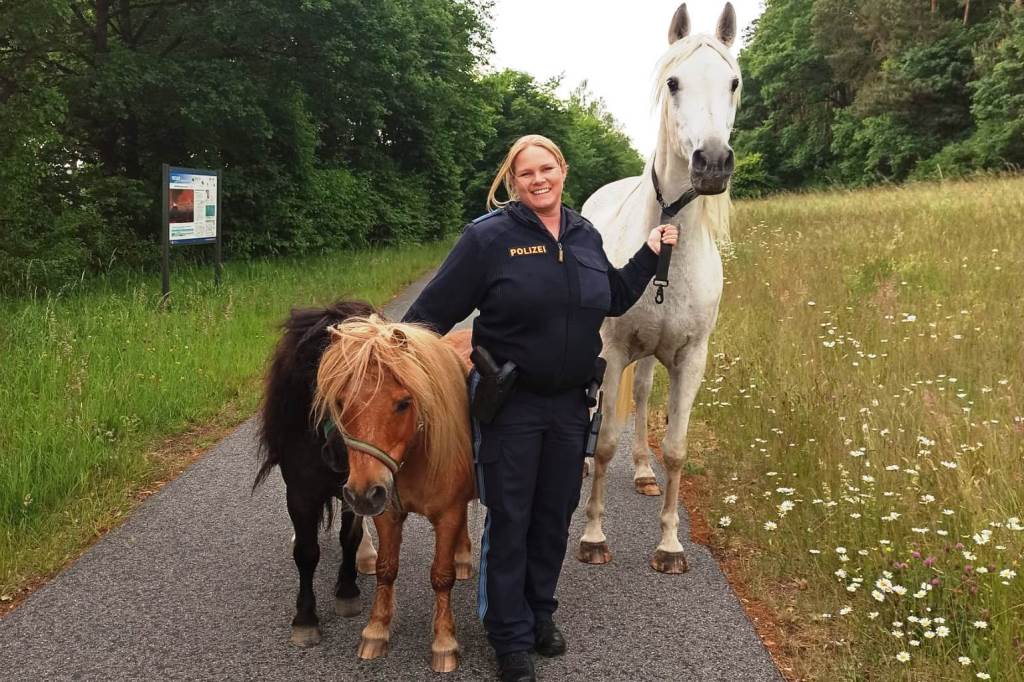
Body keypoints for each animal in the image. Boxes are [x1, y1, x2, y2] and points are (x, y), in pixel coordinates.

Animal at [254, 302, 476, 673]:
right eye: (339, 400)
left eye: (403, 402)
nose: (337, 456)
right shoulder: (315, 496)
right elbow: (334, 557)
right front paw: (316, 621)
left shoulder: (440, 510)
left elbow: (438, 573)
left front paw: (444, 644)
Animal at [577, 3, 740, 574]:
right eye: (673, 82)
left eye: (734, 82)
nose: (712, 163)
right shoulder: (611, 350)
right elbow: (604, 440)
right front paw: (594, 536)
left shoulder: (691, 358)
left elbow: (675, 448)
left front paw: (670, 545)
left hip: (651, 355)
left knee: (645, 396)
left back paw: (644, 471)